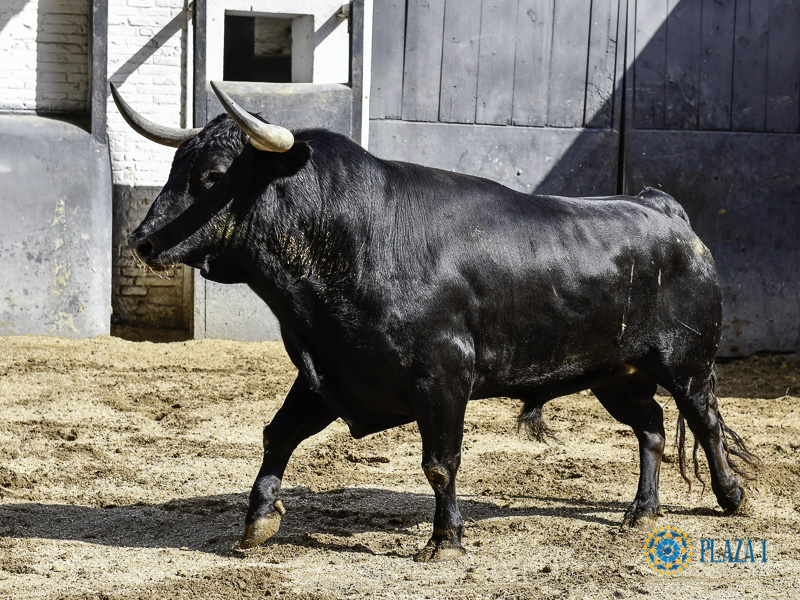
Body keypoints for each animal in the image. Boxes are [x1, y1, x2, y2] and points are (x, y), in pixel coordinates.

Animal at [111, 82, 758, 562]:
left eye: (214, 176)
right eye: (176, 165)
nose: (142, 241)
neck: (351, 237)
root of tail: (661, 209)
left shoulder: (443, 376)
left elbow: (440, 464)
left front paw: (445, 540)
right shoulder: (331, 373)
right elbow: (279, 434)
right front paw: (258, 521)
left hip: (687, 363)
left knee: (705, 421)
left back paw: (732, 496)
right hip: (614, 373)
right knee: (651, 427)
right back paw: (641, 511)